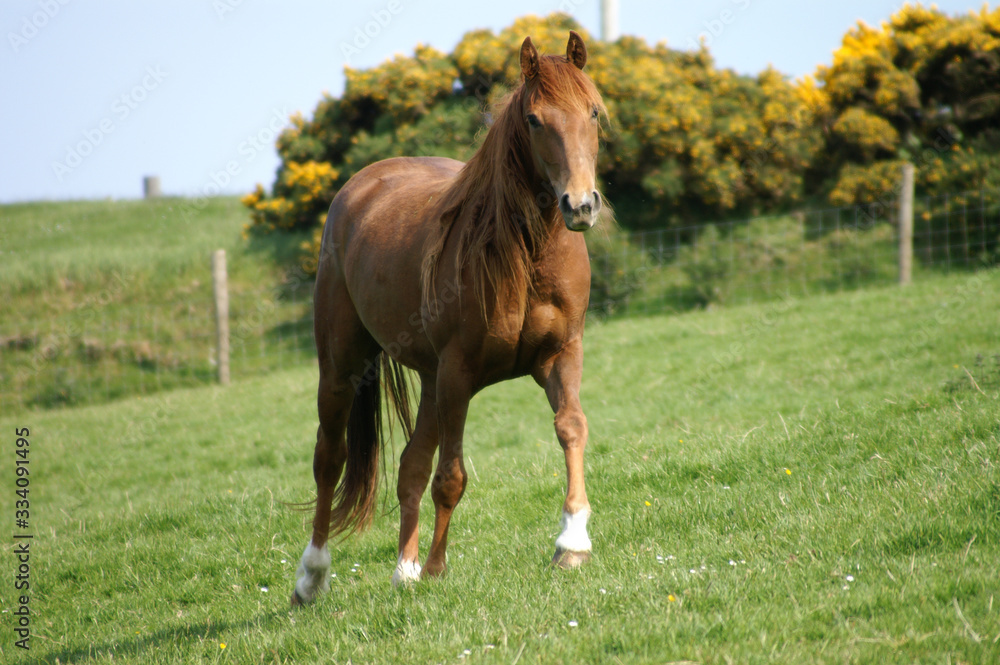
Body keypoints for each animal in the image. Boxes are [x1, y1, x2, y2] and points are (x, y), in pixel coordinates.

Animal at [292, 30, 607, 605]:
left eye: (593, 113)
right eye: (535, 120)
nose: (580, 205)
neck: (522, 255)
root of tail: (360, 187)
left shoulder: (559, 354)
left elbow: (571, 428)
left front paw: (572, 541)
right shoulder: (460, 373)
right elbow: (452, 476)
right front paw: (438, 566)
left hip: (432, 381)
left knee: (409, 467)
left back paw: (404, 568)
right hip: (344, 367)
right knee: (330, 460)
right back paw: (312, 575)